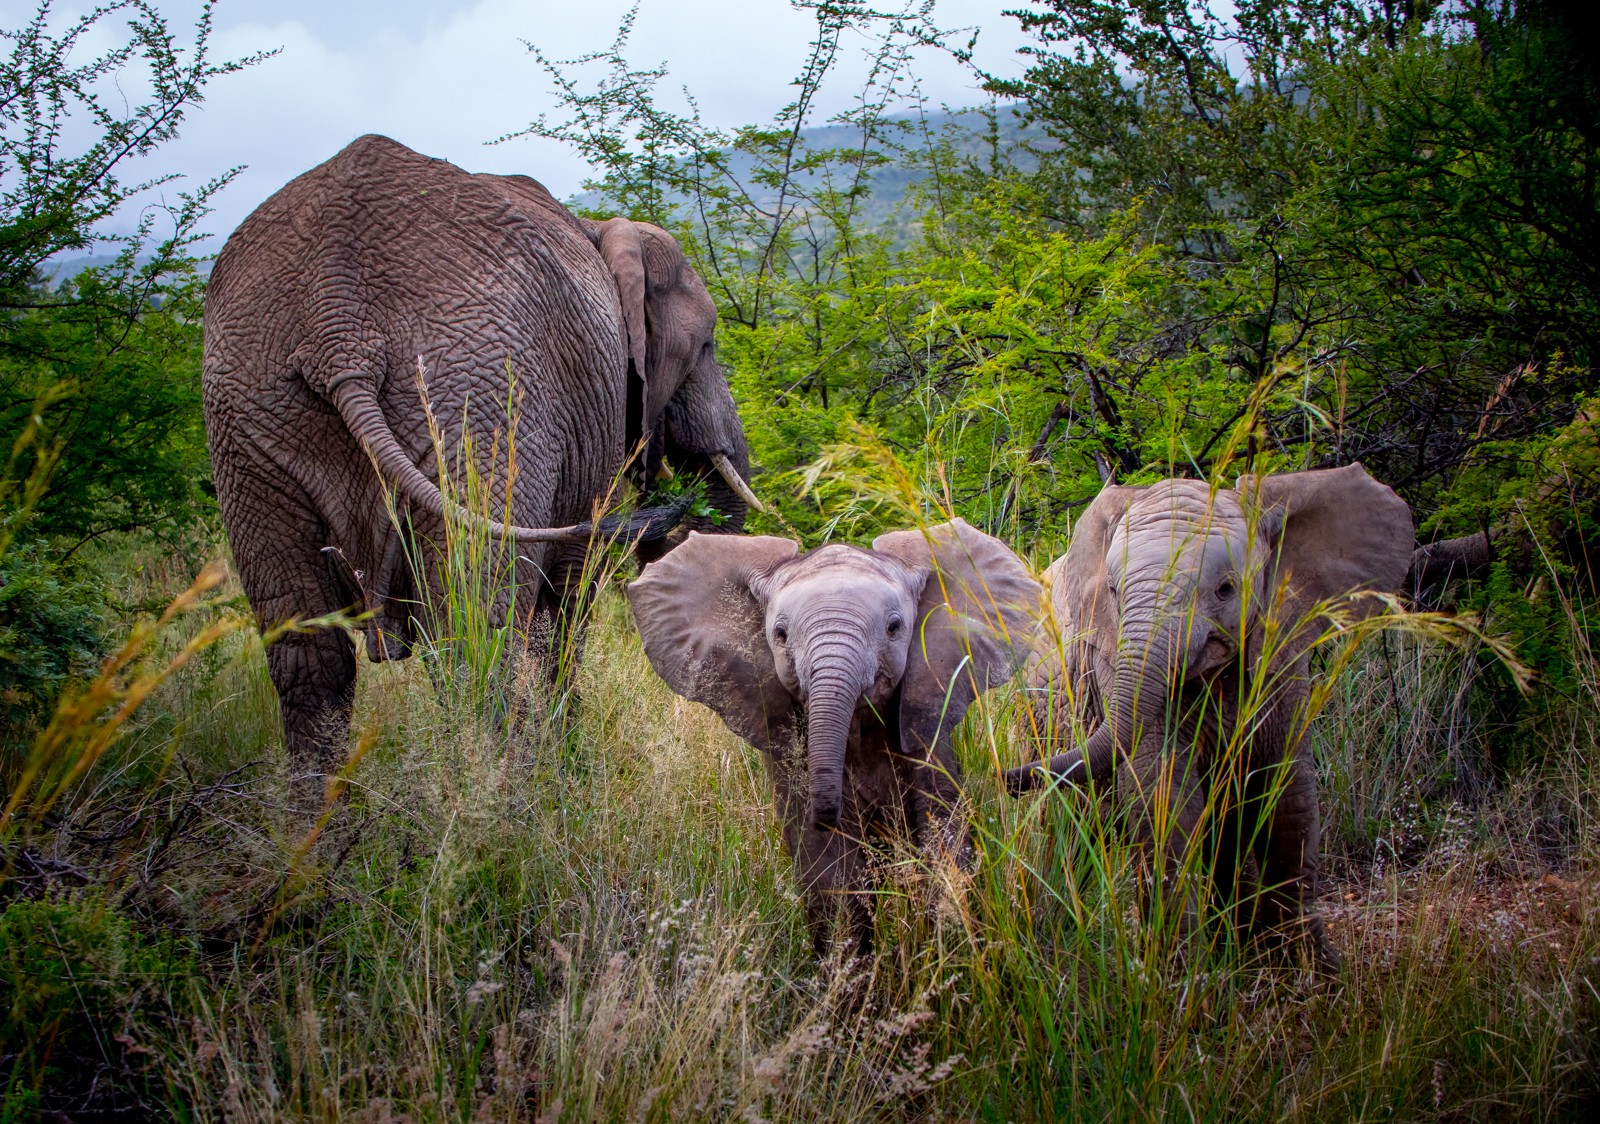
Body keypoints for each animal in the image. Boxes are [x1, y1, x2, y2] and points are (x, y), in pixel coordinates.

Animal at [202, 134, 759, 799]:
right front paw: (567, 764)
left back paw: (322, 827)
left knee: (309, 659)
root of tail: (339, 327)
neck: (600, 229)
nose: (673, 511)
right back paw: (509, 806)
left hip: (250, 417)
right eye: (706, 346)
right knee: (478, 631)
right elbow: (567, 603)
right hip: (481, 398)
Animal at [627, 520, 1041, 955]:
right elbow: (827, 866)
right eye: (780, 634)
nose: (830, 811)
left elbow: (941, 830)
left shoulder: (929, 710)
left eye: (894, 628)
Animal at [1004, 465, 1413, 968]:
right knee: (1072, 825)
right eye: (1114, 592)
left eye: (1226, 589)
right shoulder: (1108, 657)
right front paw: (1185, 974)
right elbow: (1164, 798)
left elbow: (1287, 795)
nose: (1006, 778)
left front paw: (1312, 970)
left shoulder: (1279, 650)